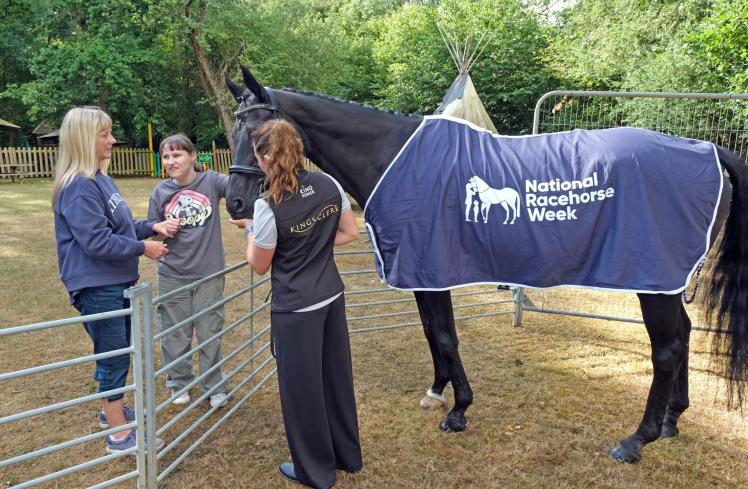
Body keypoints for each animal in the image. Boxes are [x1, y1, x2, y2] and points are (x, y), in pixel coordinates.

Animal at [224, 65, 748, 463]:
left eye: (262, 134)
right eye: (235, 130)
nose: (235, 202)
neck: (394, 159)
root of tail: (709, 150)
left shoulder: (432, 268)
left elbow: (444, 335)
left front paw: (458, 411)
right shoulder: (422, 272)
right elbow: (430, 331)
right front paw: (438, 392)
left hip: (653, 280)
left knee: (666, 349)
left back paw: (637, 439)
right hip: (670, 281)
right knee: (683, 336)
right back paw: (673, 420)